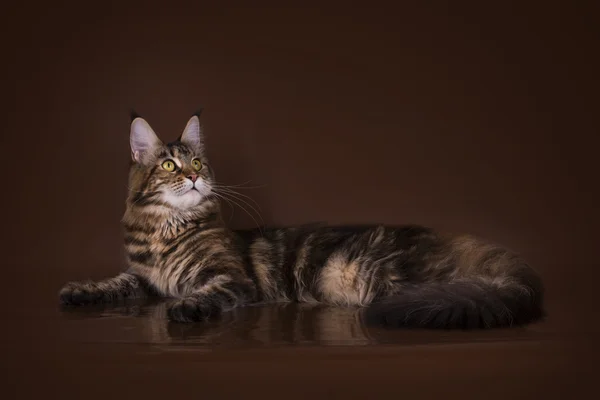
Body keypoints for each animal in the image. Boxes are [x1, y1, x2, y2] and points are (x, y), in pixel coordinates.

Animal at [58, 110, 548, 328]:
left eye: (196, 162)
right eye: (168, 165)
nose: (194, 177)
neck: (164, 232)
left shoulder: (229, 277)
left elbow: (205, 293)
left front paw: (183, 308)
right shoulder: (143, 277)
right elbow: (112, 284)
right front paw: (78, 292)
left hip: (377, 276)